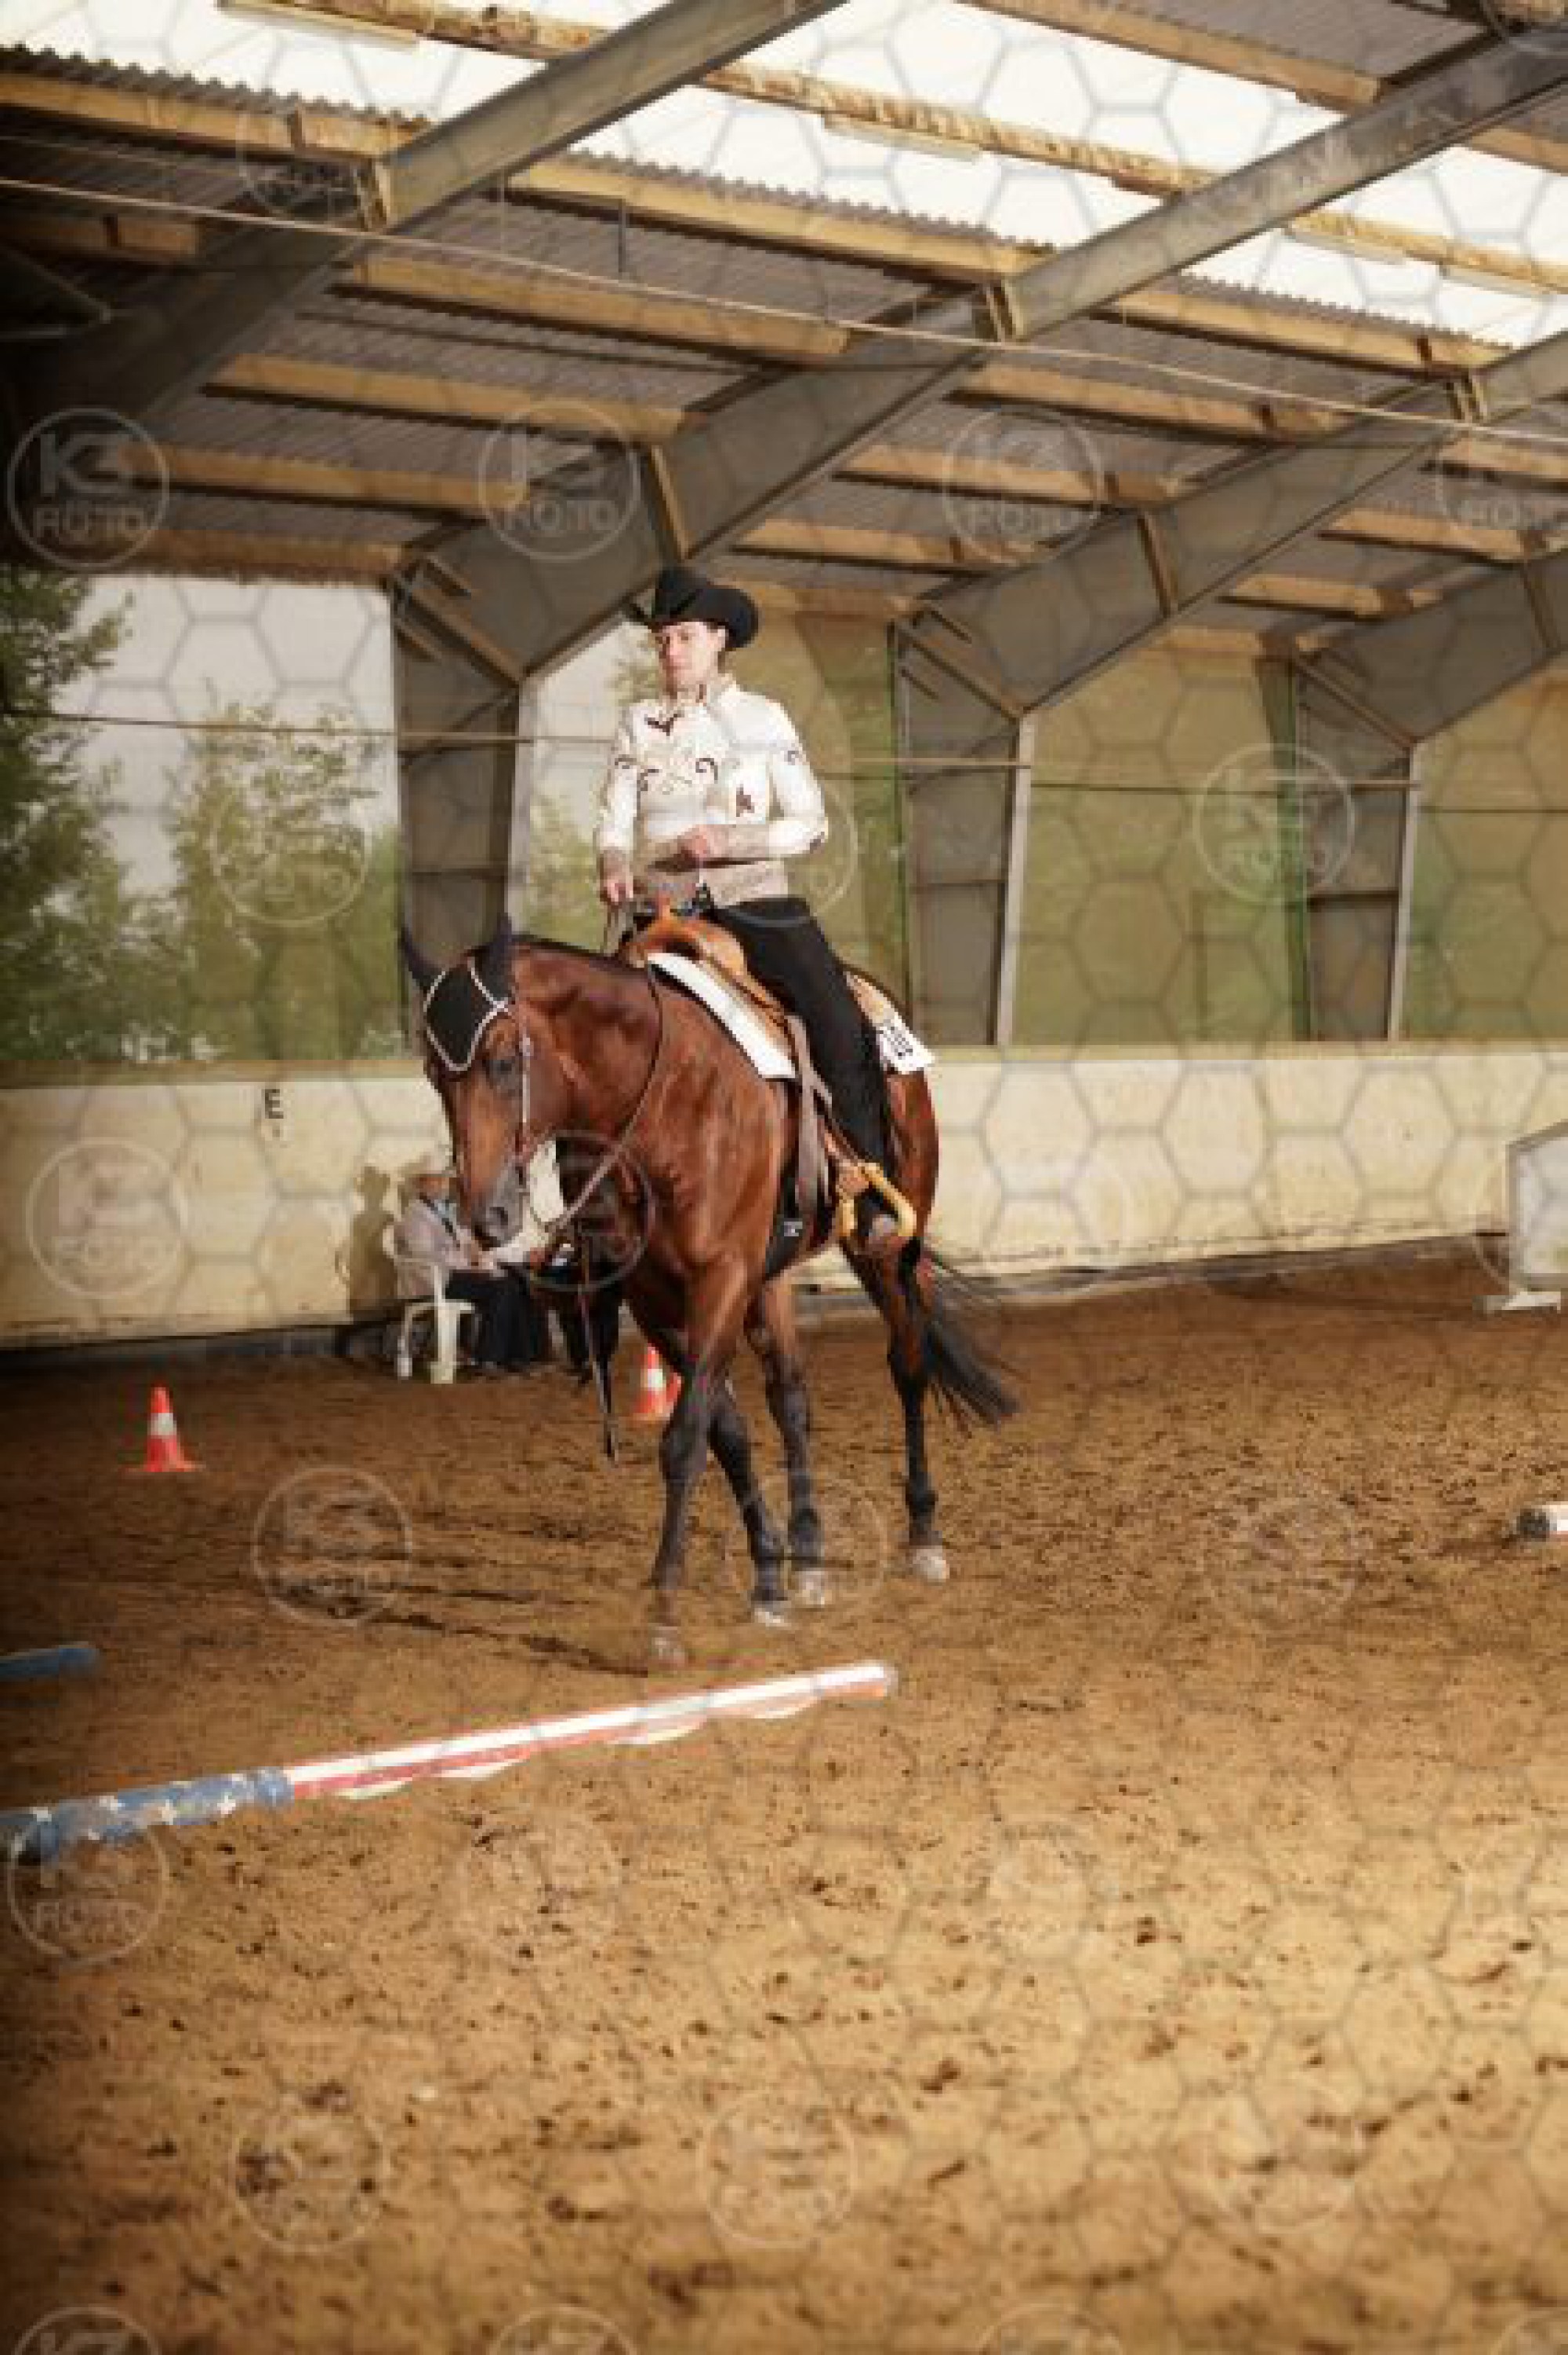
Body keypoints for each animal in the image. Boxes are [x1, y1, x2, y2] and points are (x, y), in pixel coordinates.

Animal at [400, 911, 1017, 1663]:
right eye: (434, 1074)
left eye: (502, 1063)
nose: (485, 1216)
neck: (667, 1099)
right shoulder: (659, 1298)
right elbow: (728, 1431)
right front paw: (770, 1576)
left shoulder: (720, 1277)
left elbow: (684, 1435)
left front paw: (665, 1613)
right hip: (768, 1277)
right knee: (790, 1396)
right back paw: (810, 1555)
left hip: (893, 1246)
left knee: (909, 1361)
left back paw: (925, 1534)